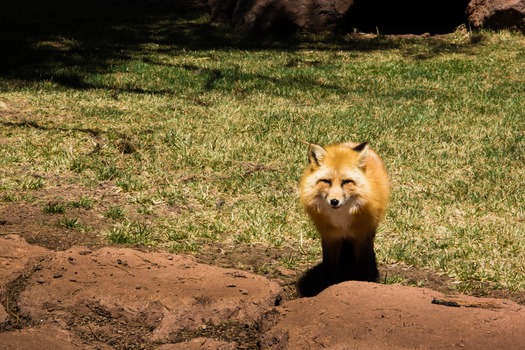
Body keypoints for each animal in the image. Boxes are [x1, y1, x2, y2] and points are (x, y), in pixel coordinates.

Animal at [296, 141, 386, 296]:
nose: (334, 201)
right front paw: (328, 287)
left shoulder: (362, 235)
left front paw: (363, 283)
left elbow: (363, 264)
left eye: (346, 182)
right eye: (326, 181)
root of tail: (350, 143)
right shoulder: (330, 235)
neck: (341, 218)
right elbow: (329, 266)